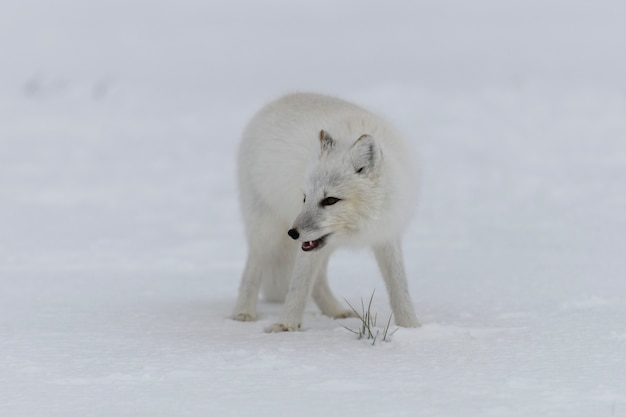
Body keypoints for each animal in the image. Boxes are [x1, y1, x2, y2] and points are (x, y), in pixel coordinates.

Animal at [232, 92, 416, 332]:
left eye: (330, 200)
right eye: (305, 198)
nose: (292, 233)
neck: (362, 227)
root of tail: (283, 97)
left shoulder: (387, 234)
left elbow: (399, 287)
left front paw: (411, 327)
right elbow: (298, 285)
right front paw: (286, 325)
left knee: (318, 281)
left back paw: (336, 312)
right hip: (266, 230)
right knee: (253, 267)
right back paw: (243, 313)